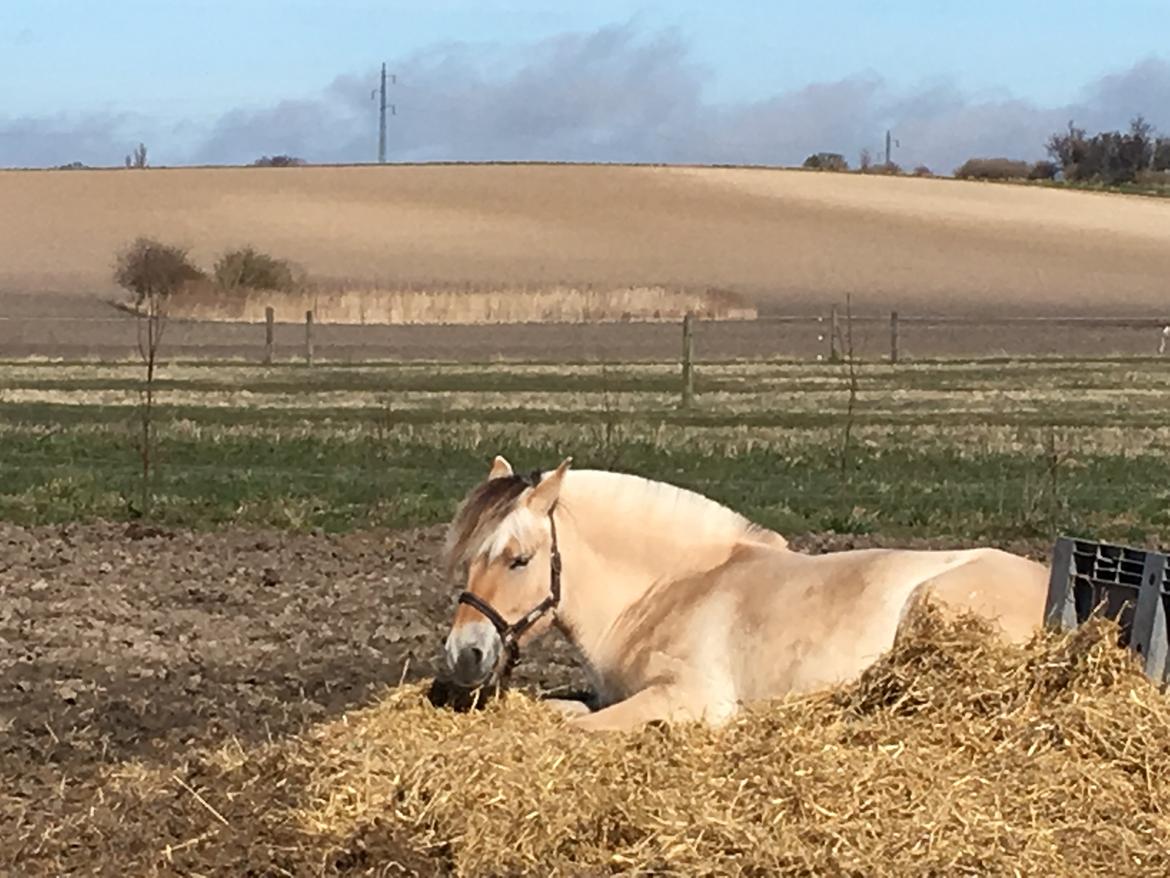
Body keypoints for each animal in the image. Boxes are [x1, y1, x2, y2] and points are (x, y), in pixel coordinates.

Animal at [439, 456, 1053, 730]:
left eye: (519, 560)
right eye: (469, 559)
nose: (464, 653)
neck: (667, 591)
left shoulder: (690, 698)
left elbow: (577, 730)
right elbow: (560, 712)